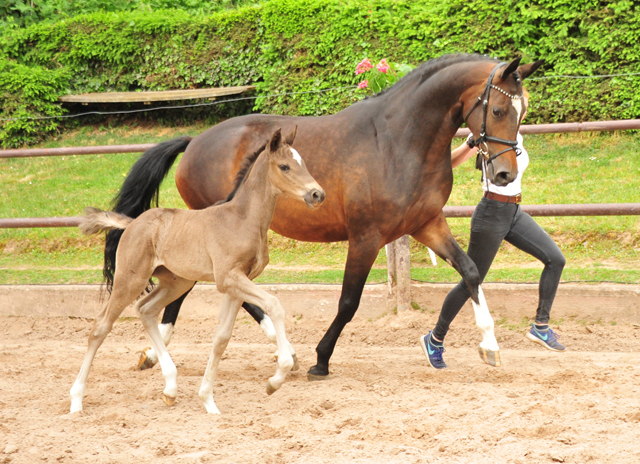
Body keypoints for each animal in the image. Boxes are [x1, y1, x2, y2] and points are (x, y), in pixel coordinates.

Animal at [69, 128, 324, 414]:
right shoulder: (228, 278)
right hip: (130, 280)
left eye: (302, 162)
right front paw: (275, 380)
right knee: (101, 327)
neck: (242, 219)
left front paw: (208, 401)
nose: (317, 194)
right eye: (284, 166)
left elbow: (221, 338)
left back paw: (170, 387)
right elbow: (274, 304)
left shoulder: (237, 284)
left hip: (176, 282)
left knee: (146, 310)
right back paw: (76, 400)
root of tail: (133, 223)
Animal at [104, 54, 540, 380]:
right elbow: (348, 302)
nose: (505, 175)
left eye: (522, 111)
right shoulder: (366, 237)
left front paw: (490, 346)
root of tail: (195, 141)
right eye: (498, 109)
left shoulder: (426, 225)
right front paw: (321, 359)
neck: (399, 141)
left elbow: (471, 271)